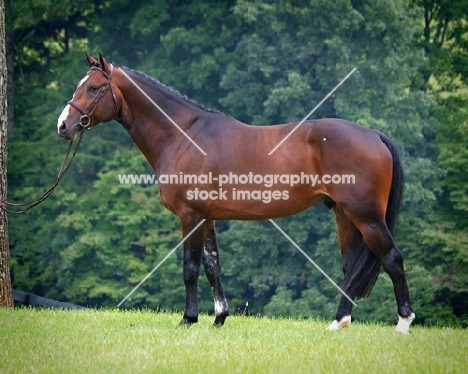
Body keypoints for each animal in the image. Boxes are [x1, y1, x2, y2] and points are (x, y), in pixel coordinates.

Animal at [56, 53, 414, 334]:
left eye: (93, 87)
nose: (63, 125)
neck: (183, 134)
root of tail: (374, 134)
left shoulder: (191, 216)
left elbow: (190, 268)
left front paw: (188, 319)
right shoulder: (208, 218)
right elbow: (213, 266)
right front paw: (219, 318)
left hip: (367, 217)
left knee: (392, 258)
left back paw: (403, 323)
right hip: (344, 215)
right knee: (350, 268)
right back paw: (339, 322)